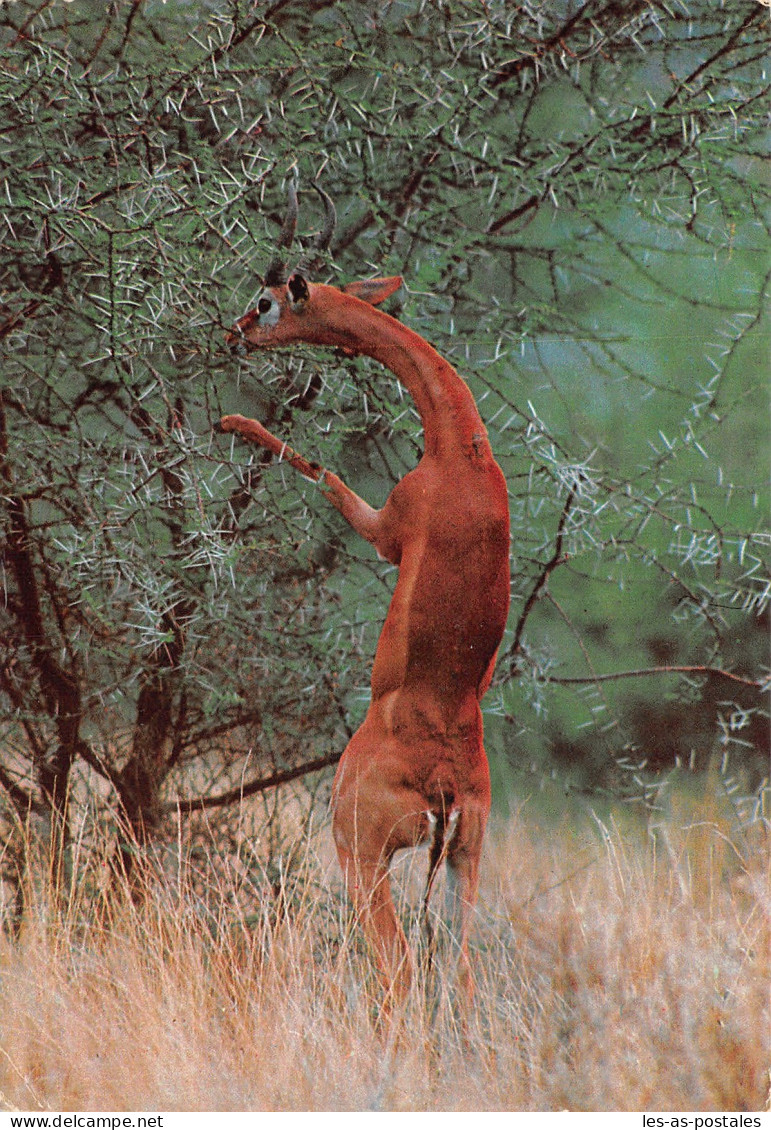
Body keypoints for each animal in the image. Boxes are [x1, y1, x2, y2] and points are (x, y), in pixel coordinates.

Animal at [222, 185, 510, 1017]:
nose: (233, 332)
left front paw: (234, 421)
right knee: (460, 975)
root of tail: (442, 781)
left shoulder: (385, 529)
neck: (461, 453)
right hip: (465, 859)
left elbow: (321, 470)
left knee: (398, 971)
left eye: (266, 300)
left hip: (361, 853)